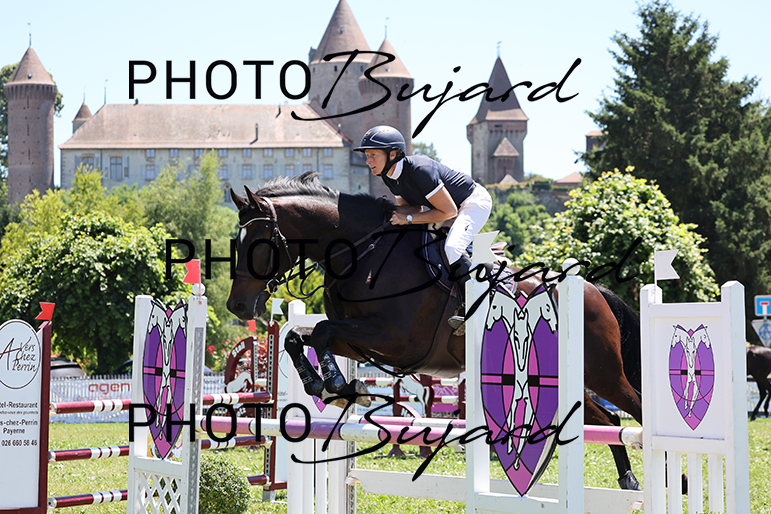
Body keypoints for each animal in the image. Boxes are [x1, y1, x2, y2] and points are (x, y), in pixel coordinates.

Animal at [226, 172, 643, 489]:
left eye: (259, 244)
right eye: (236, 242)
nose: (237, 307)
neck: (363, 254)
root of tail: (592, 289)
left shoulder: (395, 340)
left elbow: (322, 331)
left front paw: (335, 386)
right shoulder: (362, 342)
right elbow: (301, 336)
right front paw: (331, 386)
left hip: (603, 373)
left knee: (634, 410)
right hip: (568, 380)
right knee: (607, 422)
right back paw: (628, 481)